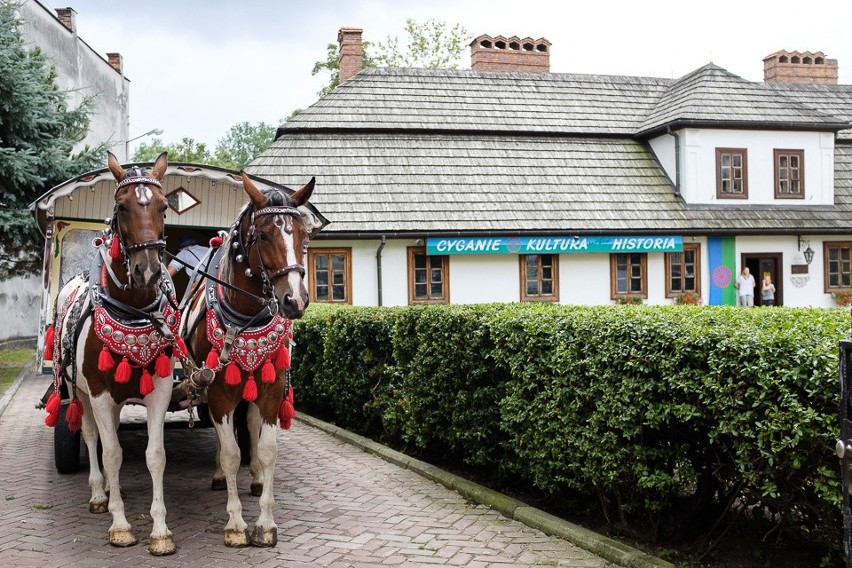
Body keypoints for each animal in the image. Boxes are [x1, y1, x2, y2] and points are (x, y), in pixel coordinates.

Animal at [42, 151, 179, 556]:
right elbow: (112, 453)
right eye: (121, 206)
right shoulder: (101, 394)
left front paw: (160, 530)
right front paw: (120, 525)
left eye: (164, 206)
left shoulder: (158, 391)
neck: (132, 312)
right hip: (80, 391)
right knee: (91, 437)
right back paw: (99, 493)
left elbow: (154, 455)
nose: (148, 271)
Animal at [178, 172, 314, 544]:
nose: (295, 301)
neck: (245, 318)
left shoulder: (271, 388)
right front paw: (236, 524)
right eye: (264, 235)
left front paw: (265, 523)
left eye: (304, 234)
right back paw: (219, 477)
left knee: (251, 426)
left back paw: (254, 478)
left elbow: (265, 449)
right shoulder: (219, 390)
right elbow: (229, 453)